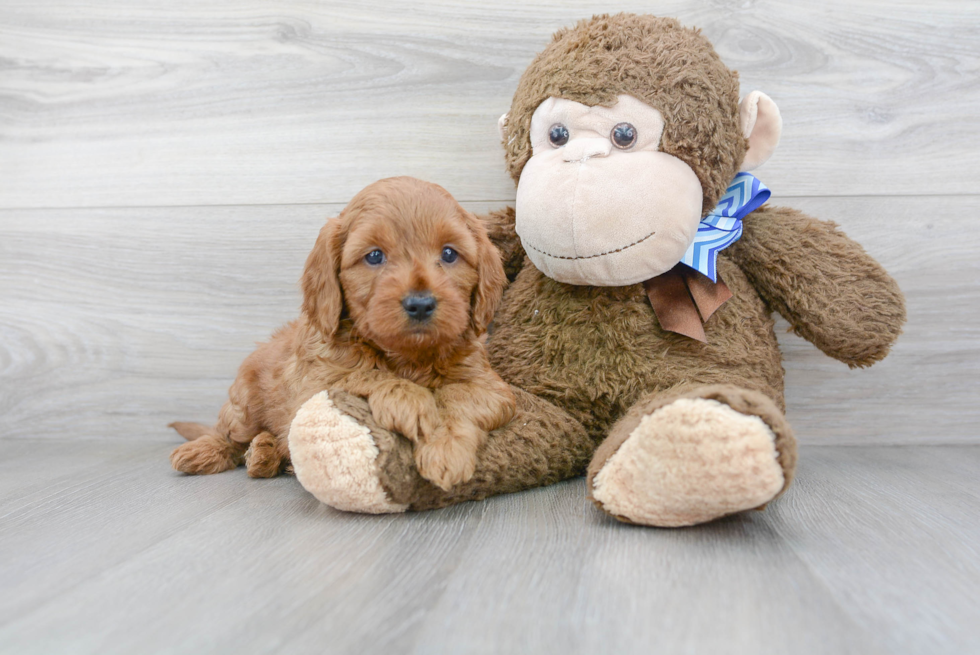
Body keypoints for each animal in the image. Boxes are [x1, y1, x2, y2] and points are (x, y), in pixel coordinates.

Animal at [171, 177, 516, 490]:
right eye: (374, 256)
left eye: (449, 254)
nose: (420, 304)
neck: (408, 357)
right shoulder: (314, 384)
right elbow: (366, 374)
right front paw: (411, 401)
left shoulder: (492, 387)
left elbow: (458, 396)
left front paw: (446, 448)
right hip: (244, 404)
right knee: (228, 435)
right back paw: (206, 452)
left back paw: (265, 454)